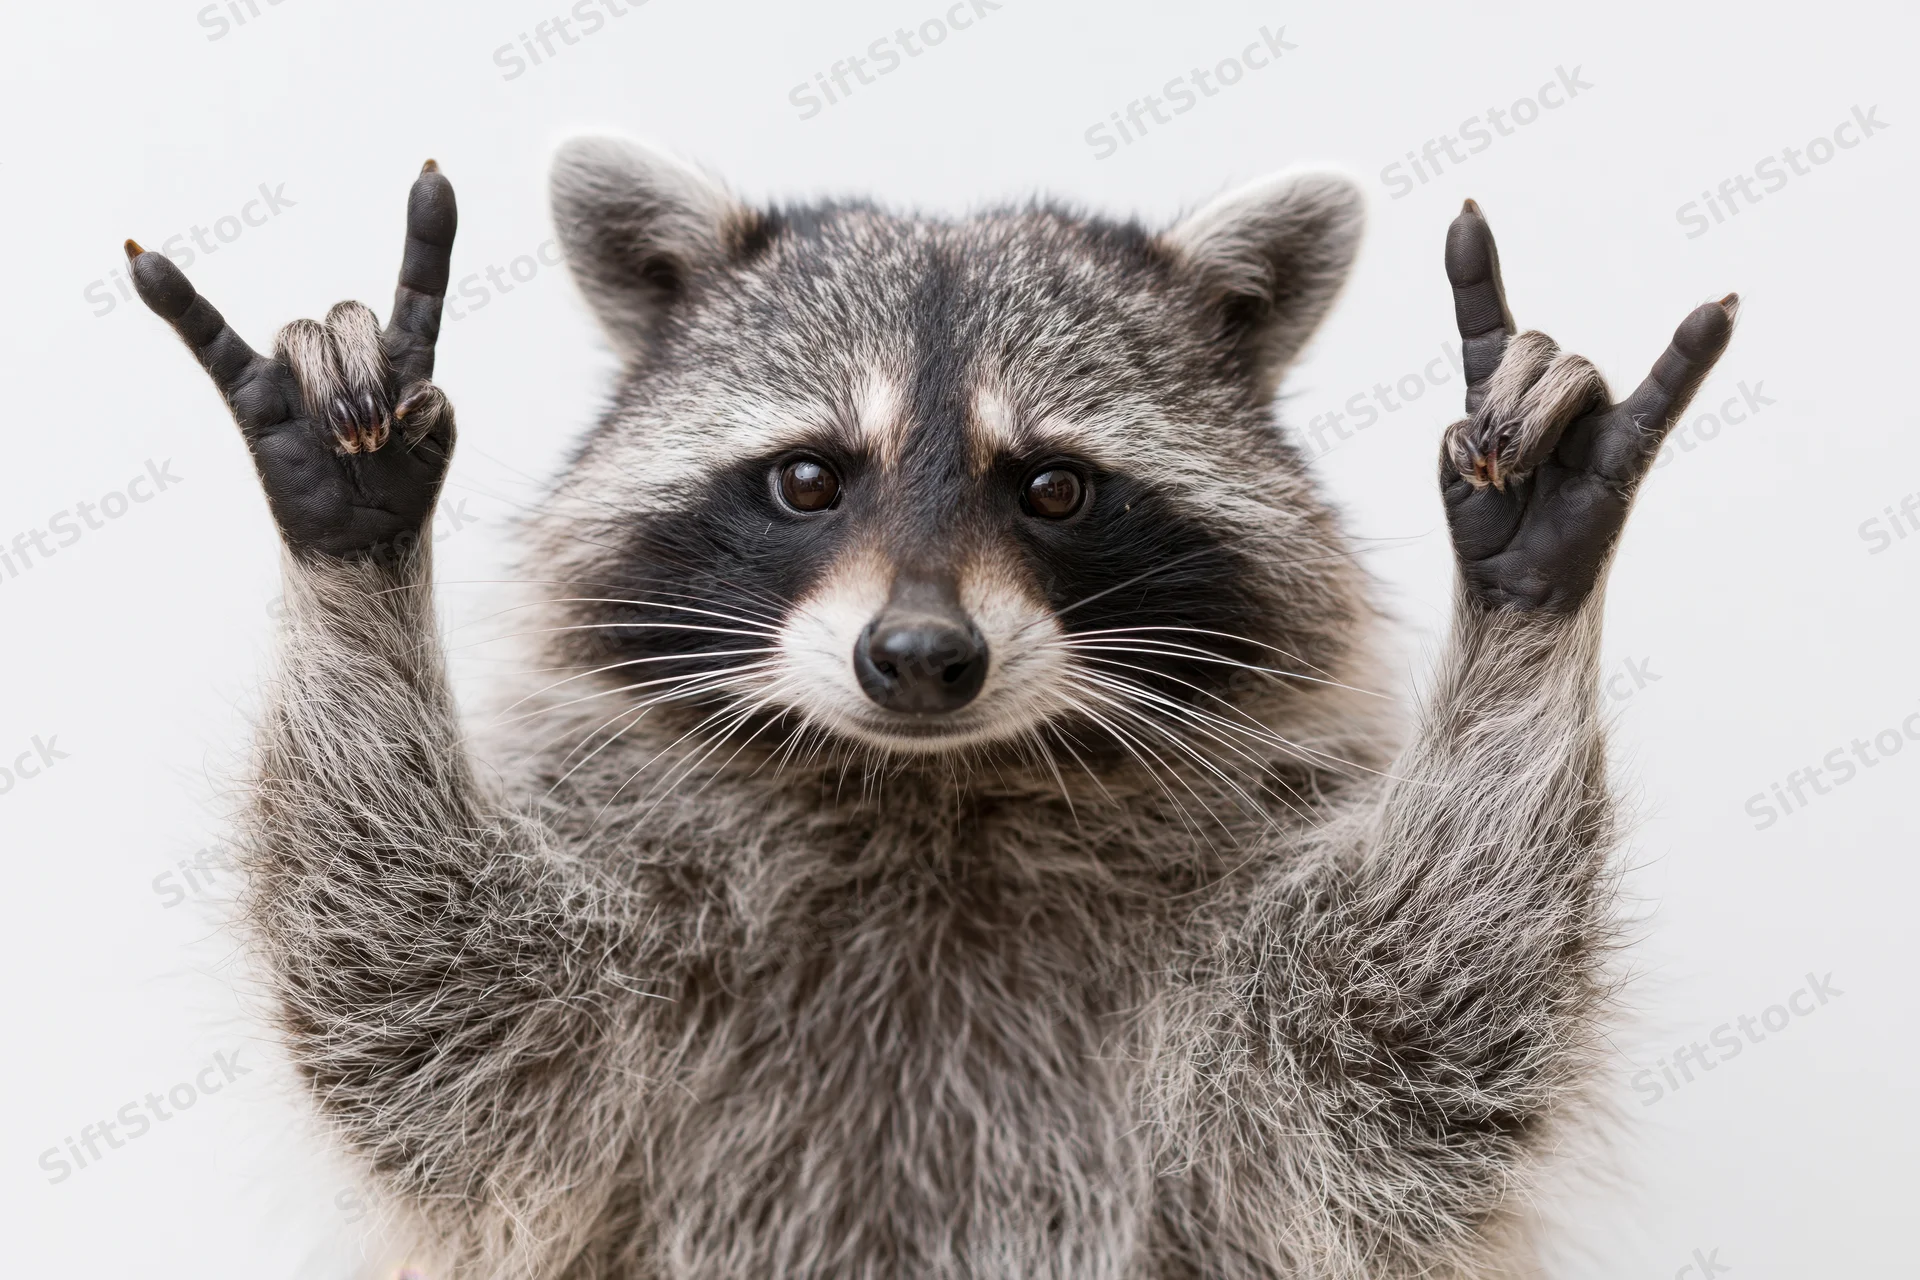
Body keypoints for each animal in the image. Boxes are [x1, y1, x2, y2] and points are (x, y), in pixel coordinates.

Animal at [130, 140, 1735, 1279]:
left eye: (1055, 488)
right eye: (807, 478)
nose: (916, 656)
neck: (926, 793)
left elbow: (1410, 1051)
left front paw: (1527, 581)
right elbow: (428, 999)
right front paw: (353, 526)